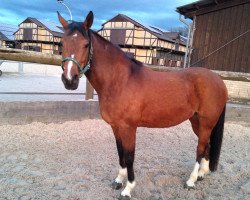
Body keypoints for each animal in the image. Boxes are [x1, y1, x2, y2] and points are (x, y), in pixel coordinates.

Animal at [57, 11, 228, 200]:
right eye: (61, 43)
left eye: (86, 44)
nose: (69, 80)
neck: (120, 81)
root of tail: (218, 80)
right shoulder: (116, 127)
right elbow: (120, 153)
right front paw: (118, 181)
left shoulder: (129, 128)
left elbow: (129, 156)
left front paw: (128, 189)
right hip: (197, 122)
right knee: (207, 146)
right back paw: (201, 174)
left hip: (206, 122)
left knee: (200, 148)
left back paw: (191, 181)